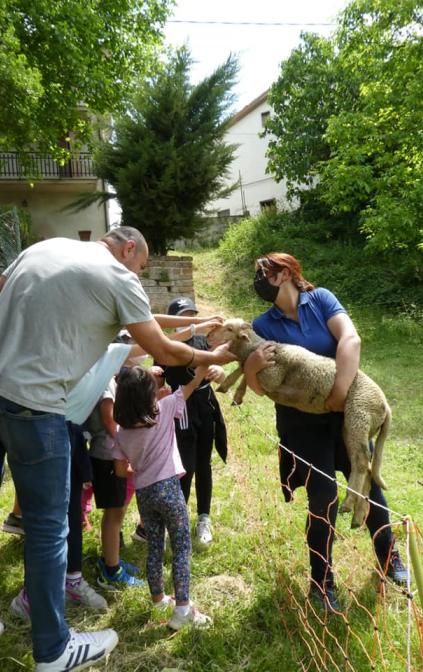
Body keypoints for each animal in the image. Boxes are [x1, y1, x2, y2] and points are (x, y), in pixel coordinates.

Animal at [214, 318, 392, 528]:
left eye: (228, 328)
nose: (208, 337)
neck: (256, 347)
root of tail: (385, 406)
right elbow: (244, 370)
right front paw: (235, 393)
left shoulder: (271, 377)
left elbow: (244, 367)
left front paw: (228, 383)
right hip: (356, 426)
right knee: (367, 468)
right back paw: (358, 514)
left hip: (359, 415)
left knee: (362, 462)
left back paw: (349, 503)